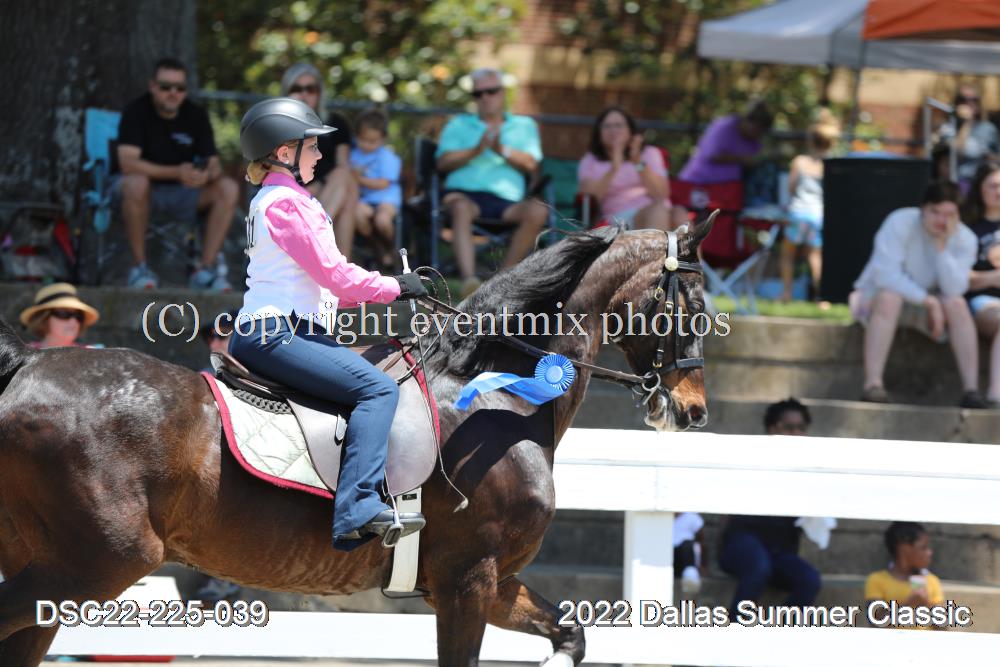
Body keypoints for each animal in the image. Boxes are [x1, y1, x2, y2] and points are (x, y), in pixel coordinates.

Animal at [0, 219, 712, 667]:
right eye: (696, 306)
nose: (693, 411)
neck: (497, 398)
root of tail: (30, 362)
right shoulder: (468, 580)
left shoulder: (494, 581)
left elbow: (571, 634)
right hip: (100, 561)